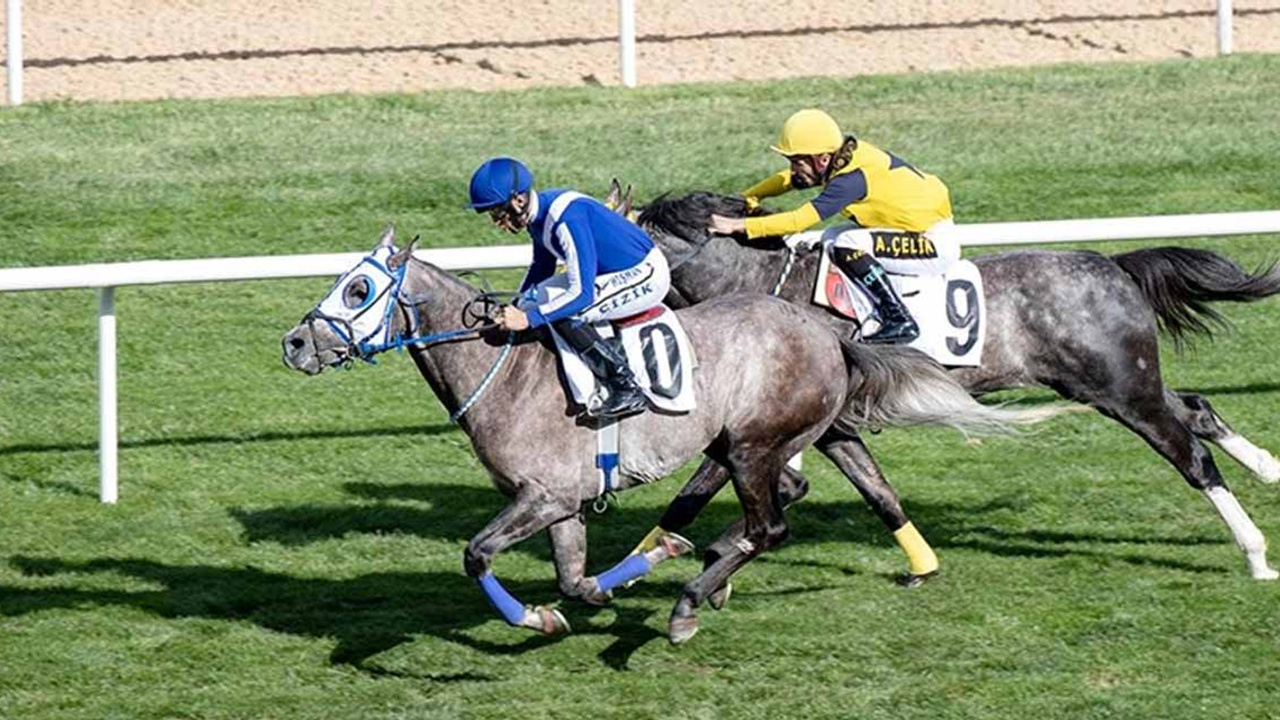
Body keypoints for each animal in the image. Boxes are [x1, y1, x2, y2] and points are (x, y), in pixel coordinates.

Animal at [282, 224, 1059, 638]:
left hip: (748, 444)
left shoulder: (541, 495)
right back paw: (706, 570)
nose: (294, 344)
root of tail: (827, 331)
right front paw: (603, 588)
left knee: (770, 525)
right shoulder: (561, 502)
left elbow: (477, 556)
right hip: (758, 443)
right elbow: (573, 580)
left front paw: (540, 616)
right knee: (780, 503)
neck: (504, 369)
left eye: (359, 289)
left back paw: (691, 598)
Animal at [622, 189, 1280, 584]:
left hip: (1121, 390)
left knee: (1190, 455)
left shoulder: (761, 423)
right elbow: (866, 489)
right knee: (1196, 409)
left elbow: (701, 490)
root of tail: (1114, 266)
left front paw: (656, 558)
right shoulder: (828, 426)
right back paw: (1268, 468)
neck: (761, 286)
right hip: (1123, 381)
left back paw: (1254, 553)